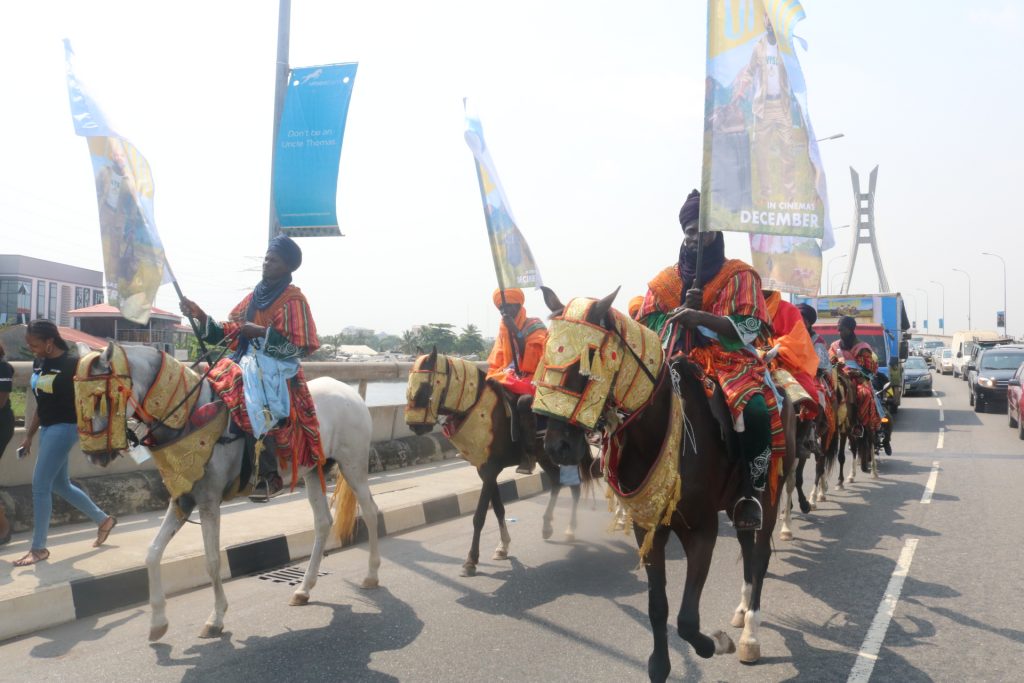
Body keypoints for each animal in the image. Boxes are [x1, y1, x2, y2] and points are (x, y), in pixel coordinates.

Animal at [74, 344, 382, 643]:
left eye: (100, 396)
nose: (93, 456)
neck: (190, 417)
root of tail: (352, 396)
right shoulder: (183, 498)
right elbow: (152, 553)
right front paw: (158, 622)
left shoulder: (209, 500)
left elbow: (212, 561)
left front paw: (216, 619)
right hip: (312, 471)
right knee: (322, 522)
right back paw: (304, 589)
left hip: (353, 464)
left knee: (369, 511)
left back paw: (371, 574)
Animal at [401, 350, 593, 581]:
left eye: (424, 387)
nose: (414, 425)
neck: (475, 407)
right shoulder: (483, 469)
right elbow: (499, 509)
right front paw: (503, 547)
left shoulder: (491, 468)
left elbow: (479, 516)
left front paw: (471, 561)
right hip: (545, 455)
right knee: (556, 481)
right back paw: (547, 525)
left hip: (567, 453)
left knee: (575, 486)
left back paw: (571, 529)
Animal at [536, 288, 798, 679]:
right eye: (545, 352)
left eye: (589, 357)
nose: (557, 446)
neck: (658, 428)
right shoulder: (648, 527)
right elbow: (657, 607)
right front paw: (659, 665)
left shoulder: (701, 528)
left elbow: (688, 620)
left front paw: (716, 643)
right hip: (736, 503)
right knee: (748, 547)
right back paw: (741, 612)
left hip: (769, 491)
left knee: (761, 554)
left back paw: (750, 633)